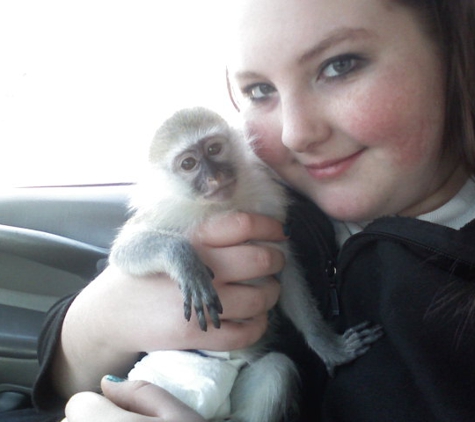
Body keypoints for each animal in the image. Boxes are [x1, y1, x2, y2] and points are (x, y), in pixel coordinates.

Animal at [109, 107, 384, 420]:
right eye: (188, 163)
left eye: (214, 149)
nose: (215, 177)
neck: (223, 207)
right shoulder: (165, 213)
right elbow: (123, 251)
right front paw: (185, 261)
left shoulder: (270, 214)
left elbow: (287, 274)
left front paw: (329, 347)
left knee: (276, 370)